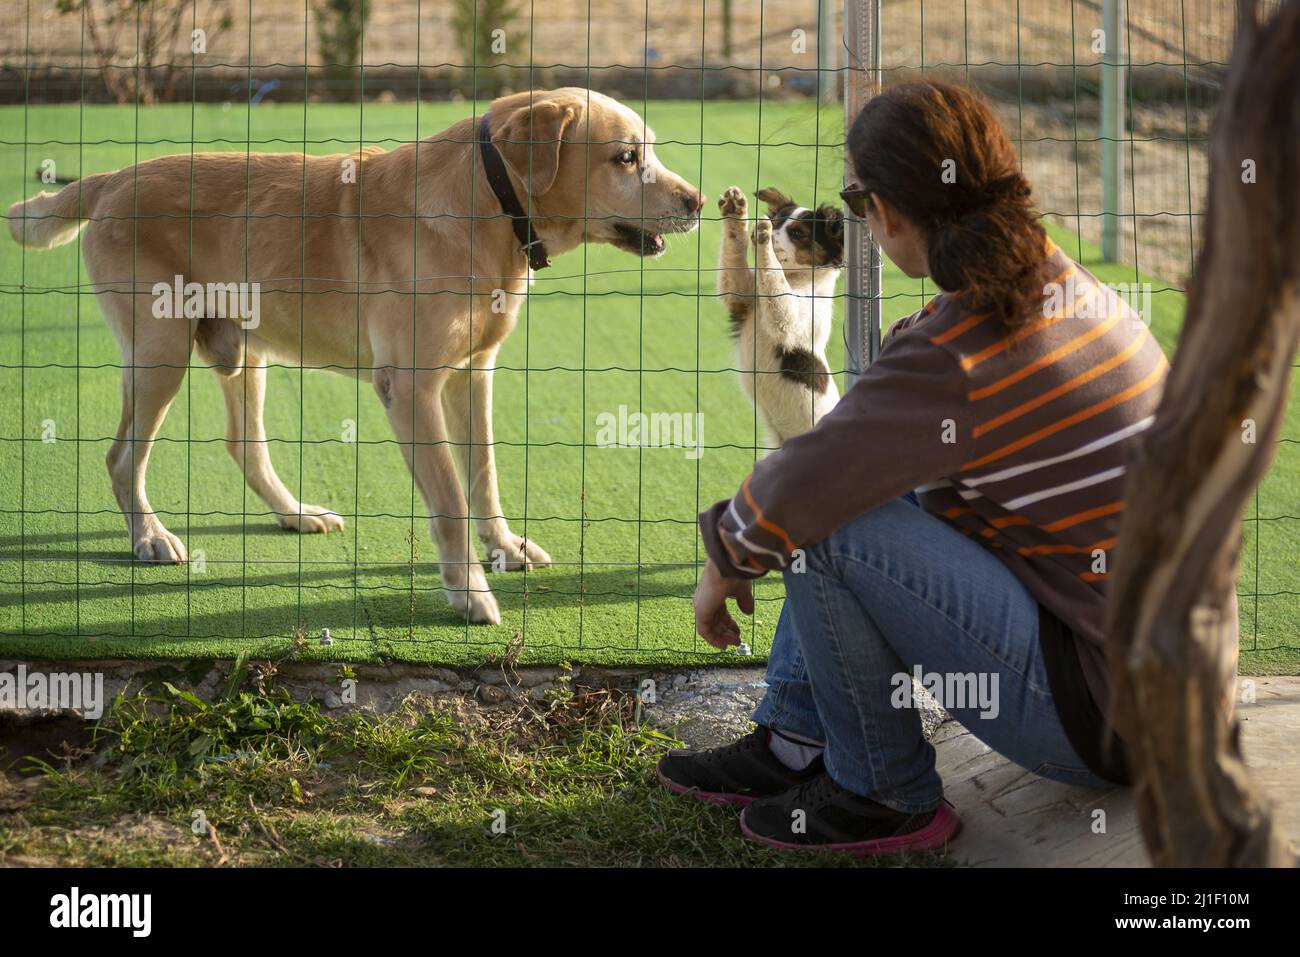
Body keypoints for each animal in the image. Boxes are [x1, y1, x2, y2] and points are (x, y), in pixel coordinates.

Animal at [7, 89, 702, 624]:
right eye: (627, 157)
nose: (700, 201)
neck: (486, 203)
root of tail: (110, 179)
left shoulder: (472, 375)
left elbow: (484, 474)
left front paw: (503, 547)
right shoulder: (412, 388)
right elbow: (451, 499)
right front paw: (468, 592)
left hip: (244, 354)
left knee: (243, 445)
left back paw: (294, 514)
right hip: (159, 354)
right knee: (123, 457)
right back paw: (150, 537)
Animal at [717, 188, 847, 449]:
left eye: (798, 233)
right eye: (776, 221)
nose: (765, 227)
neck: (796, 280)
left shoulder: (789, 317)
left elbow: (774, 278)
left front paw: (763, 236)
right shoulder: (741, 296)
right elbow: (735, 254)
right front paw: (736, 207)